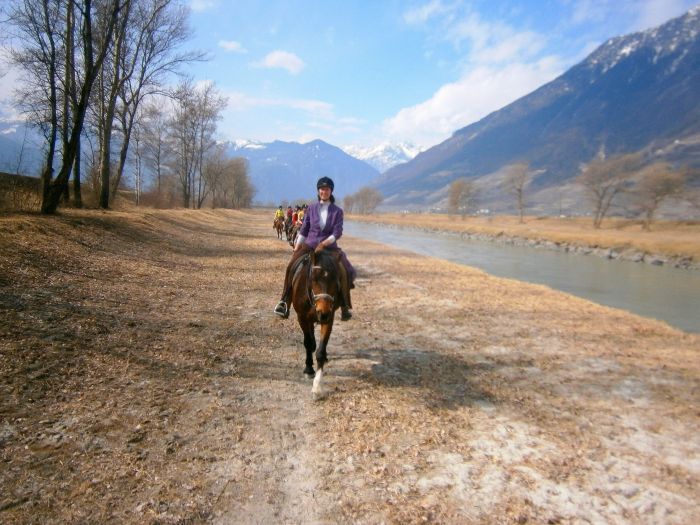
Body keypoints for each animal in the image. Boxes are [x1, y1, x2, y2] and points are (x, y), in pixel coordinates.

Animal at [290, 248, 342, 400]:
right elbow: (308, 343)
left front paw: (317, 387)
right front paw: (308, 369)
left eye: (336, 280)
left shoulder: (329, 319)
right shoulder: (302, 318)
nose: (323, 313)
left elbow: (320, 351)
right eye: (313, 279)